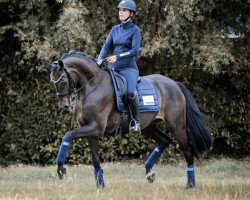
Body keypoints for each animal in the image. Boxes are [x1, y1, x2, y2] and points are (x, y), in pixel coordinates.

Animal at [49, 51, 212, 189]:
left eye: (63, 80)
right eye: (53, 82)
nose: (63, 106)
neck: (92, 86)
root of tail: (174, 84)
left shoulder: (96, 127)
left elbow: (68, 135)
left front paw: (61, 169)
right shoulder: (90, 131)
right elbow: (95, 159)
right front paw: (100, 186)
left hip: (177, 126)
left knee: (188, 151)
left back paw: (190, 185)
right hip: (148, 127)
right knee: (164, 141)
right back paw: (149, 172)